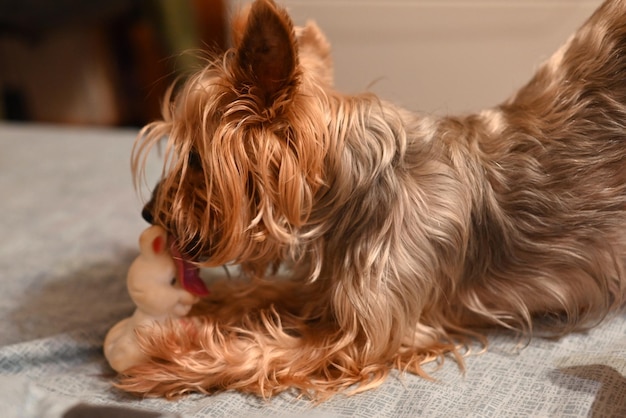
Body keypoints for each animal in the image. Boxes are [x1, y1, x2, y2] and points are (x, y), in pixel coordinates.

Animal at [122, 0, 624, 398]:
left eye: (195, 159)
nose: (148, 212)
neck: (351, 193)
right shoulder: (327, 281)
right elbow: (264, 291)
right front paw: (207, 305)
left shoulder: (367, 335)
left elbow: (265, 352)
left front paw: (162, 360)